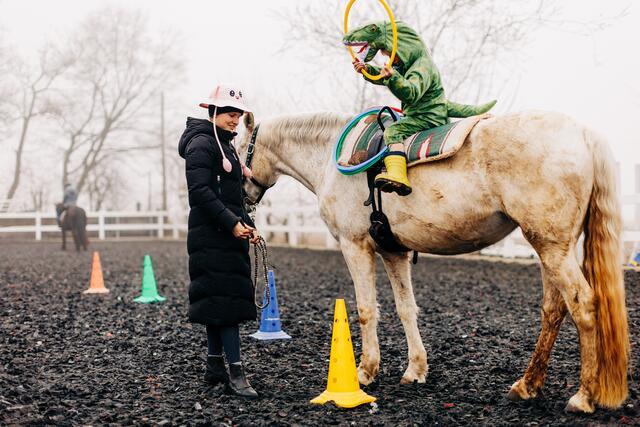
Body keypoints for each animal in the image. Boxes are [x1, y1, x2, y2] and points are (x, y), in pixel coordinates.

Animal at [240, 110, 632, 414]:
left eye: (237, 146)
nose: (244, 199)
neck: (330, 159)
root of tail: (583, 134)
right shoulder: (394, 251)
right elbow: (405, 309)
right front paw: (415, 370)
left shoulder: (355, 246)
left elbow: (366, 310)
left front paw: (366, 371)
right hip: (552, 247)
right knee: (554, 309)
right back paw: (527, 385)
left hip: (552, 248)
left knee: (583, 305)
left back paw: (582, 397)